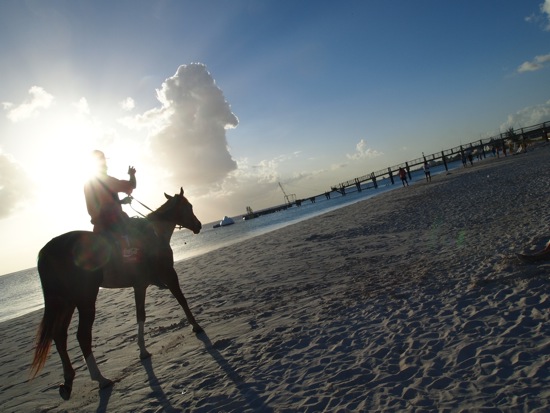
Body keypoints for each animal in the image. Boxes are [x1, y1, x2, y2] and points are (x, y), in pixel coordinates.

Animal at [30, 187, 203, 400]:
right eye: (189, 206)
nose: (198, 225)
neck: (156, 232)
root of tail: (47, 251)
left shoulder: (140, 285)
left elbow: (140, 315)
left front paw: (143, 350)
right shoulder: (169, 274)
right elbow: (182, 299)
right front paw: (196, 326)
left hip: (66, 301)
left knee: (59, 335)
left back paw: (68, 381)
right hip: (85, 298)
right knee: (82, 336)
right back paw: (100, 379)